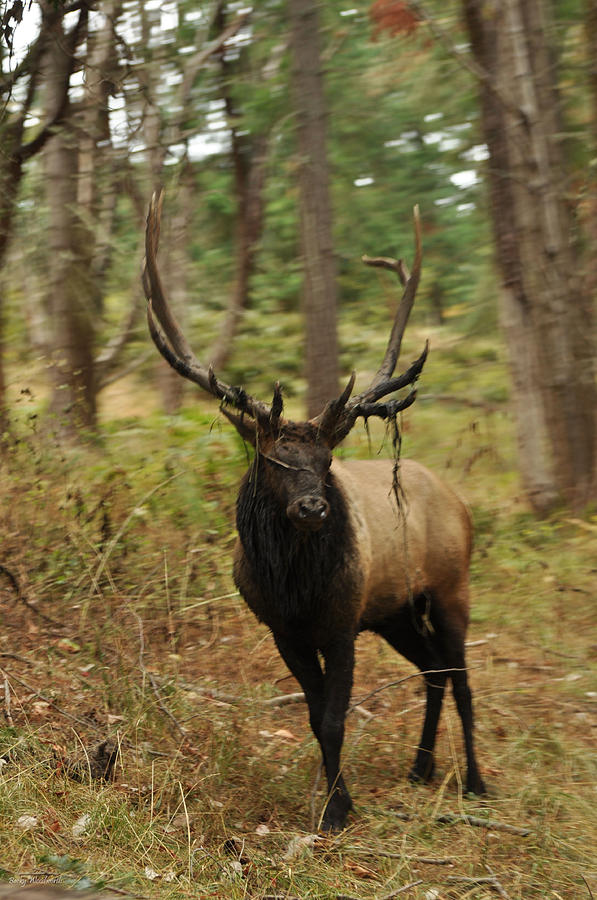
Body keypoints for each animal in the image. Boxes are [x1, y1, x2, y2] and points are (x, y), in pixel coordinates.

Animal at [143, 193, 484, 832]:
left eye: (326, 460)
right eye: (273, 459)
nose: (313, 507)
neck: (295, 588)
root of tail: (459, 500)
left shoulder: (341, 623)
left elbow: (332, 717)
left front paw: (337, 811)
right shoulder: (285, 630)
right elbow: (311, 716)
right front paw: (334, 801)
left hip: (452, 585)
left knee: (460, 677)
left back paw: (475, 782)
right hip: (396, 610)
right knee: (432, 669)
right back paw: (420, 768)